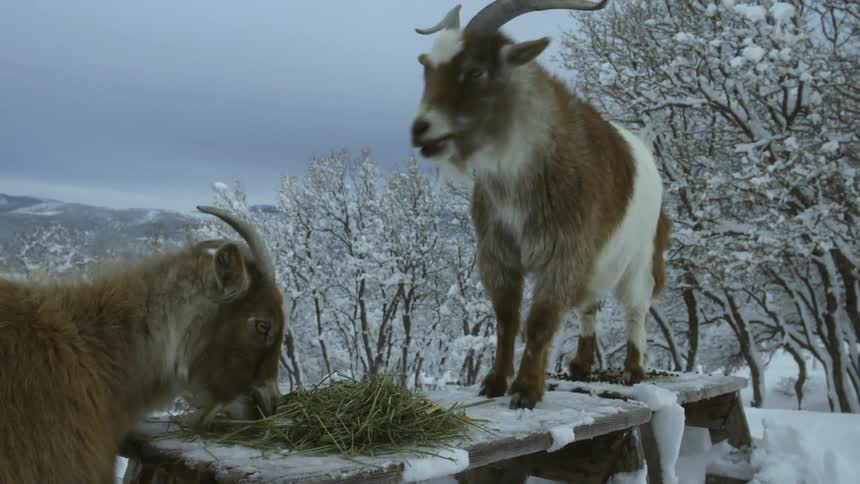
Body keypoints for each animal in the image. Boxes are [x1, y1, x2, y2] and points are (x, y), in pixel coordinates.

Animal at [410, 0, 671, 409]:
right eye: (427, 66)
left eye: (475, 70)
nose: (421, 129)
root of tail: (644, 147)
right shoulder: (497, 253)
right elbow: (506, 317)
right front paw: (495, 381)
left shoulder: (563, 251)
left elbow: (541, 319)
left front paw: (526, 390)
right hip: (596, 262)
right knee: (589, 305)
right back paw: (581, 364)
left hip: (639, 257)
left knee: (636, 309)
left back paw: (633, 368)